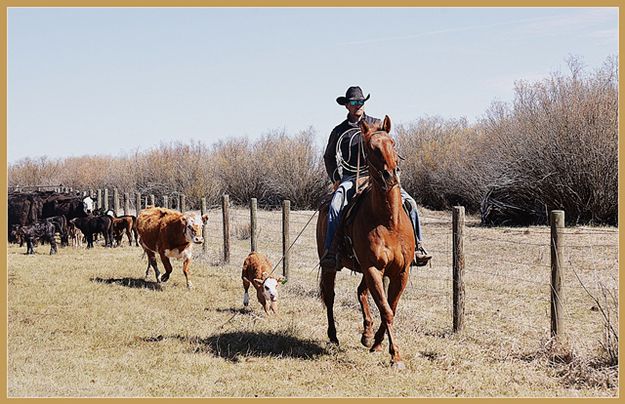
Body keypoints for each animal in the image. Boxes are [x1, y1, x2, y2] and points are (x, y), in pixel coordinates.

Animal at [316, 114, 414, 370]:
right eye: (370, 148)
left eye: (392, 143)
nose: (391, 175)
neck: (388, 220)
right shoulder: (372, 269)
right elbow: (386, 310)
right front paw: (395, 355)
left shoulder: (400, 272)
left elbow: (390, 307)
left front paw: (377, 342)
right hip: (332, 267)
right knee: (330, 297)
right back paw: (333, 336)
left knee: (361, 292)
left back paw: (367, 334)